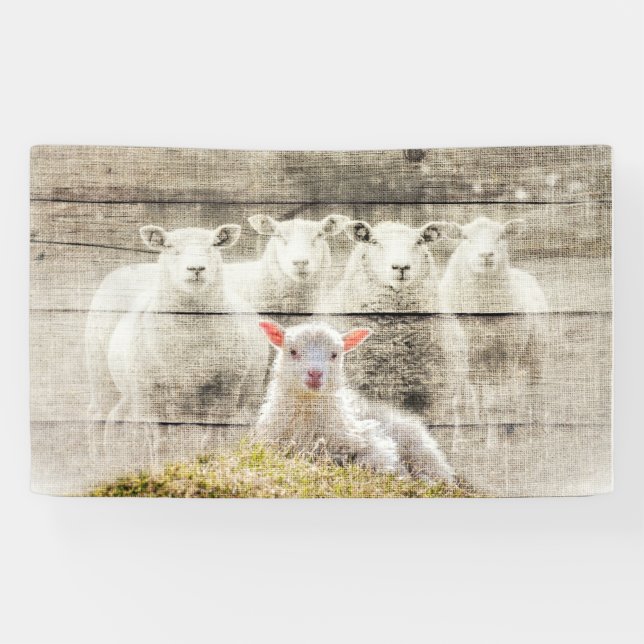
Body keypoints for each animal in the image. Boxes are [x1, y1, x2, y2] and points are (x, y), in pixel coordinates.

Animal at [91, 224, 269, 456]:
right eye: (170, 247)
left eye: (213, 245)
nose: (196, 268)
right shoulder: (152, 394)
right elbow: (161, 445)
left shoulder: (226, 390)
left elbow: (211, 441)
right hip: (103, 372)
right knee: (99, 415)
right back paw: (100, 459)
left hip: (247, 395)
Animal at [252, 320, 456, 484]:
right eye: (292, 351)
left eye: (334, 355)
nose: (315, 374)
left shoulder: (374, 441)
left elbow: (373, 462)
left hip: (422, 451)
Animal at [439, 217, 548, 447]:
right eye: (465, 237)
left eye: (501, 236)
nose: (486, 255)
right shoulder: (458, 357)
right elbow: (458, 402)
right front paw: (458, 443)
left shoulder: (503, 356)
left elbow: (495, 404)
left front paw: (493, 444)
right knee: (480, 393)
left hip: (534, 353)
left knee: (532, 391)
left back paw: (533, 432)